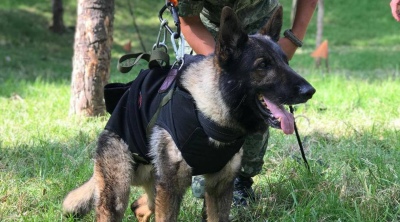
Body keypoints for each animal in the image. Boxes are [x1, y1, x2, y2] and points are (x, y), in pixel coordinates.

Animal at [62, 6, 316, 221]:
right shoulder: (172, 189)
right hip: (119, 193)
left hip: (154, 190)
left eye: (286, 61)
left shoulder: (219, 189)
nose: (310, 91)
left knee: (139, 207)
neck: (210, 116)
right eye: (263, 65)